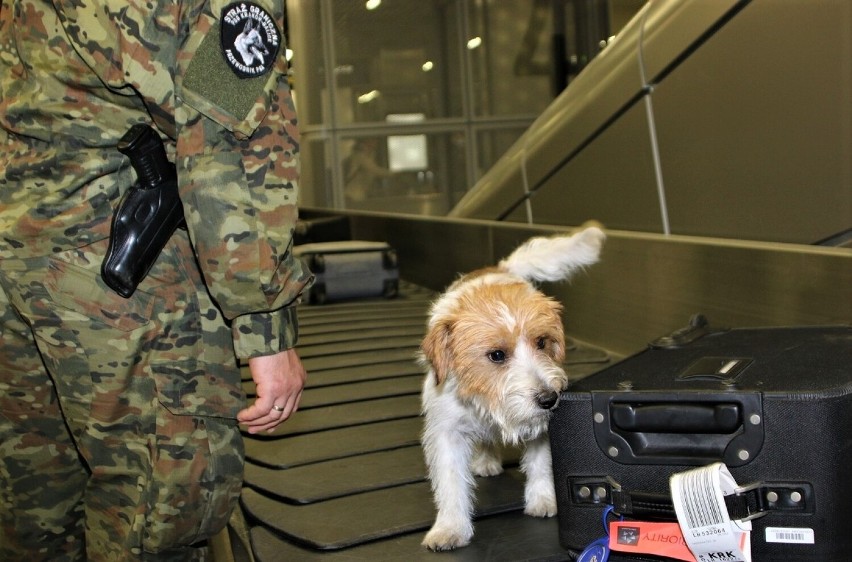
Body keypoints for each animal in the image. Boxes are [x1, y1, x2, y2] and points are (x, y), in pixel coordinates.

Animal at [420, 222, 604, 548]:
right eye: (496, 355)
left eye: (542, 342)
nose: (549, 398)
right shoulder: (447, 433)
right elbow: (451, 482)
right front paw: (450, 527)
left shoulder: (542, 426)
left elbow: (541, 463)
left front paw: (543, 499)